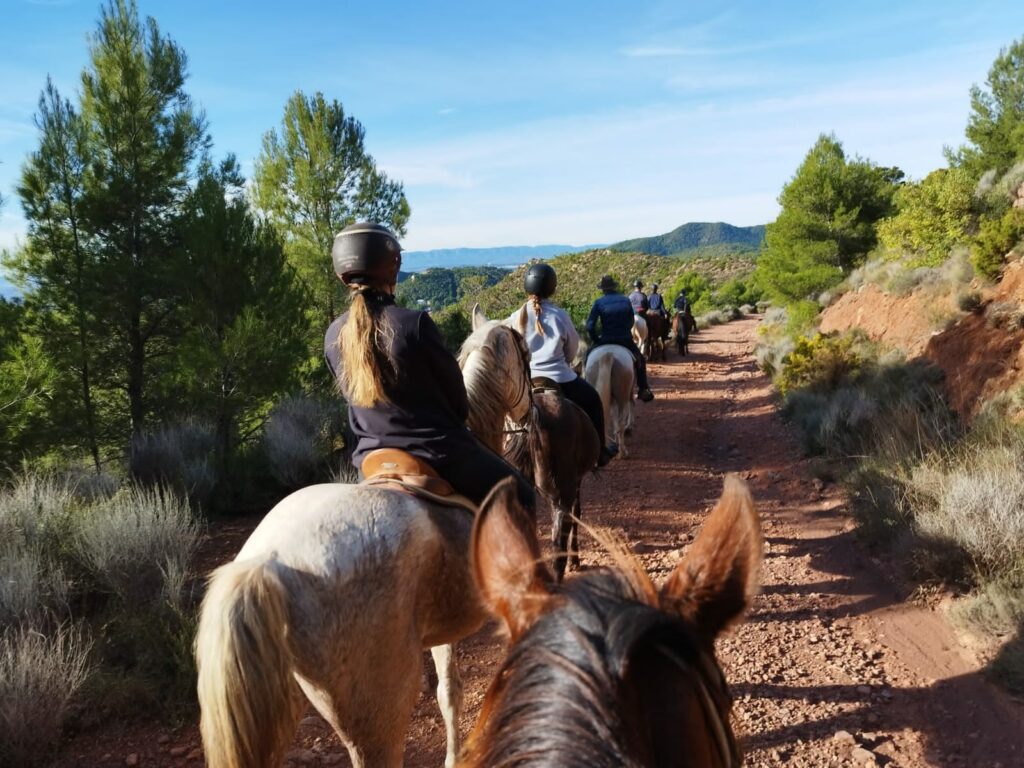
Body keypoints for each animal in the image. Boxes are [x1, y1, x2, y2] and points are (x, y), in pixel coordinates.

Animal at [196, 317, 540, 768]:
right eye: (526, 354)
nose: (532, 412)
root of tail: (267, 562)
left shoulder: (443, 628)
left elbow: (449, 693)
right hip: (379, 713)